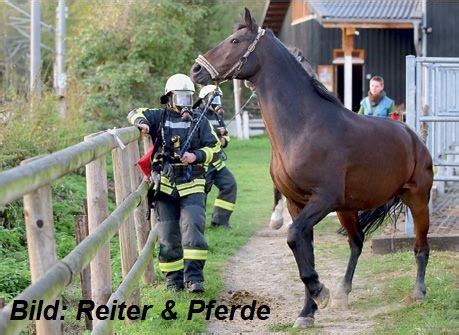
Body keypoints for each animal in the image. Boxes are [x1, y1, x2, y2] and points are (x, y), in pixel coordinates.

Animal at [190, 9, 434, 330]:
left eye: (235, 41)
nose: (196, 70)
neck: (304, 126)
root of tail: (413, 138)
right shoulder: (298, 204)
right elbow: (303, 251)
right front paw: (308, 311)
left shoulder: (322, 200)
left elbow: (294, 238)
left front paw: (320, 292)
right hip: (348, 209)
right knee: (357, 243)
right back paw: (343, 293)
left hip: (416, 199)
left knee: (421, 247)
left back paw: (417, 292)